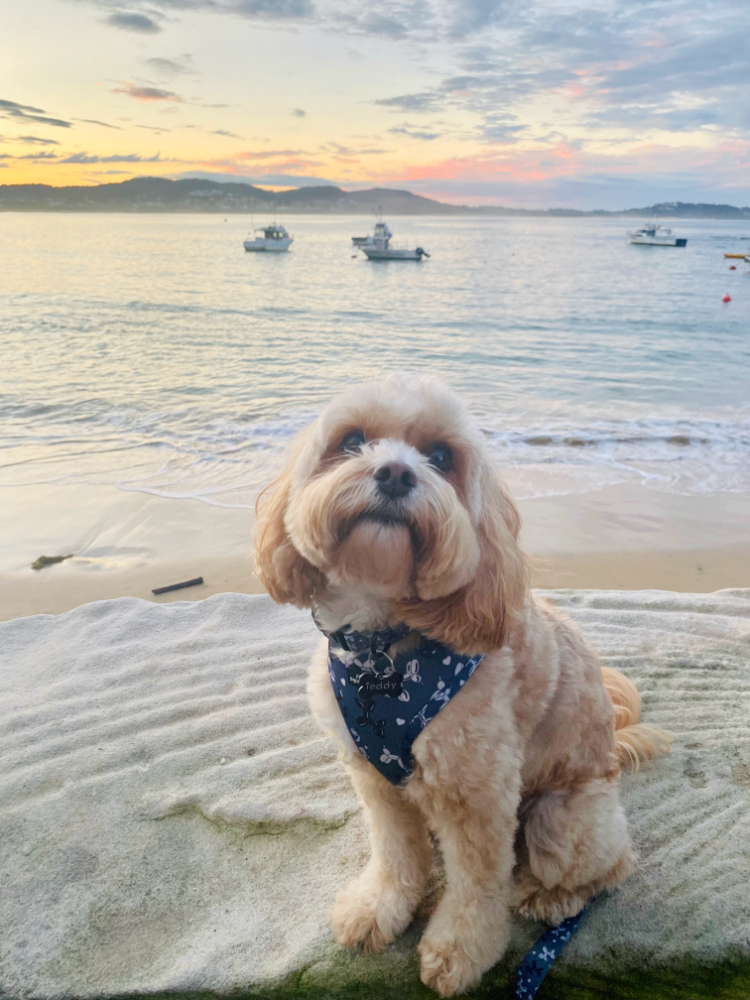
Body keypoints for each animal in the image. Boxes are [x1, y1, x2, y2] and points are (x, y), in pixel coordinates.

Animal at [256, 374, 672, 992]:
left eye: (440, 457)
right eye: (351, 440)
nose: (395, 473)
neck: (383, 651)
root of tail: (611, 756)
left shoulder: (478, 793)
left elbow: (477, 884)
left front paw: (460, 951)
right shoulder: (373, 780)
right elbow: (395, 853)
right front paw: (379, 908)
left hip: (562, 817)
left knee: (611, 866)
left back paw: (549, 896)